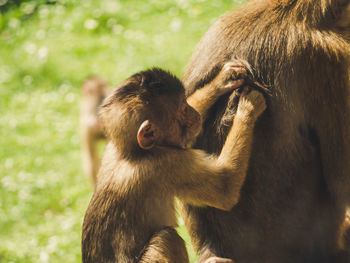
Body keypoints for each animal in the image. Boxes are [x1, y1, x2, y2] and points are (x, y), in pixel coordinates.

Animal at [82, 60, 266, 263]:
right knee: (167, 237)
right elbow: (224, 188)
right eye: (183, 110)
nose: (195, 114)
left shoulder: (111, 149)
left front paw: (222, 81)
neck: (132, 152)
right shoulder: (168, 163)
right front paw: (248, 109)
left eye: (186, 103)